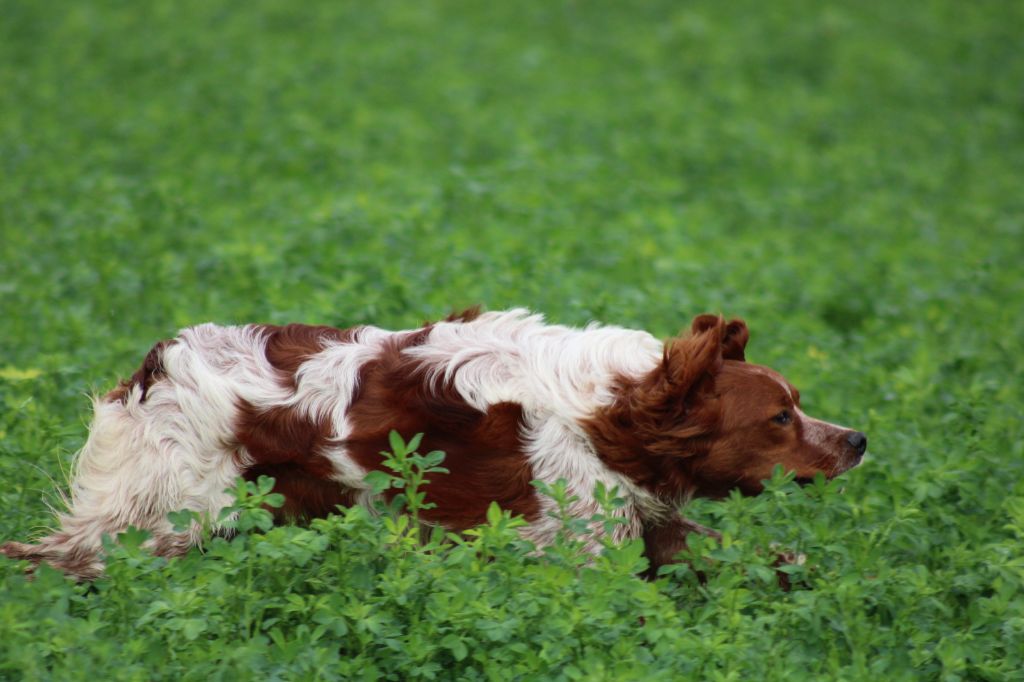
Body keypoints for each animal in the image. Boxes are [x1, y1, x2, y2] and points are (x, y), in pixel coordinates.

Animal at [0, 307, 864, 577]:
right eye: (780, 418)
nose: (857, 438)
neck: (615, 413)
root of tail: (156, 365)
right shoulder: (577, 546)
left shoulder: (644, 522)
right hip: (165, 520)